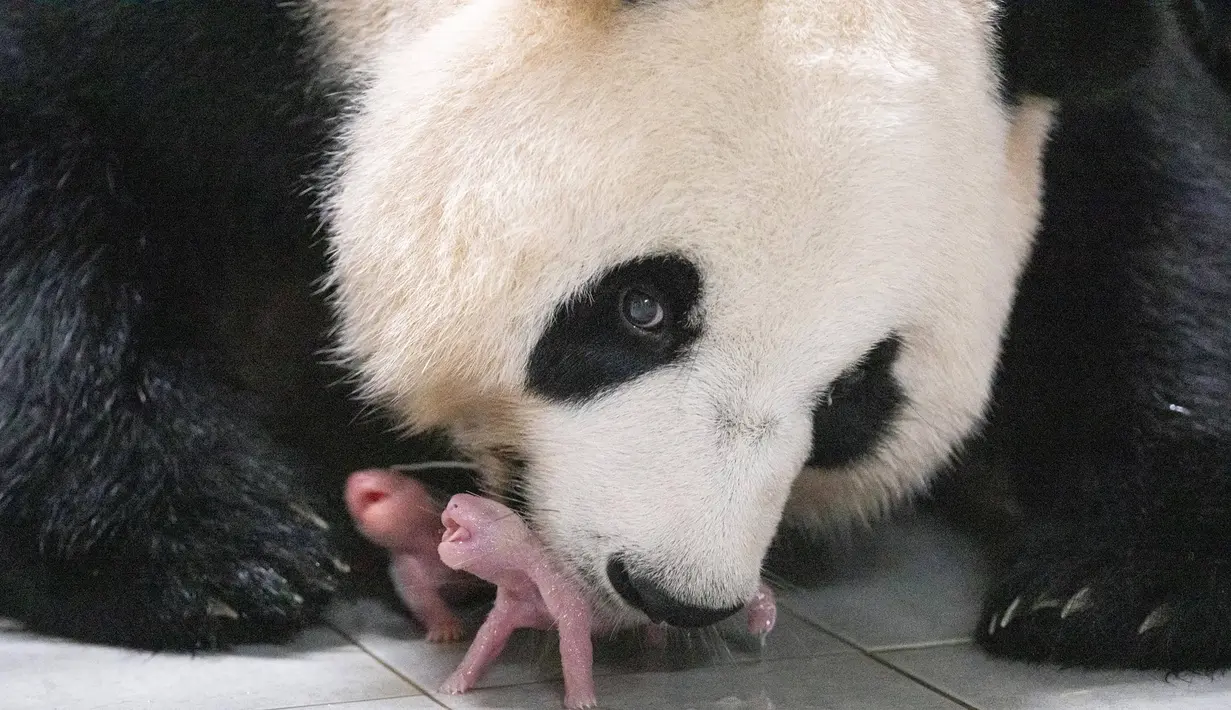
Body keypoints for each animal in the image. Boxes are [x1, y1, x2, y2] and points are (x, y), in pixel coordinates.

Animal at [1, 0, 1228, 677]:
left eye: (855, 396)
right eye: (642, 308)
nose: (673, 590)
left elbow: (1153, 212)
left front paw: (1120, 583)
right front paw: (204, 547)